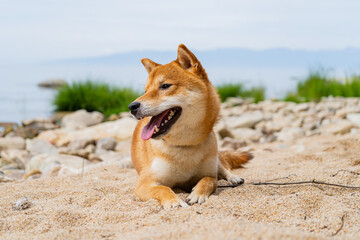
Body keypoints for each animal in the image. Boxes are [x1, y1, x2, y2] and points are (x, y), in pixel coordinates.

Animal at [128, 44, 252, 209]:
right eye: (146, 91)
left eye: (165, 86)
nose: (132, 107)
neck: (184, 146)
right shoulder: (144, 184)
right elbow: (163, 189)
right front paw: (174, 202)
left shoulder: (209, 174)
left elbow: (207, 181)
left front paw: (197, 195)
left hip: (216, 157)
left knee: (224, 168)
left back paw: (234, 178)